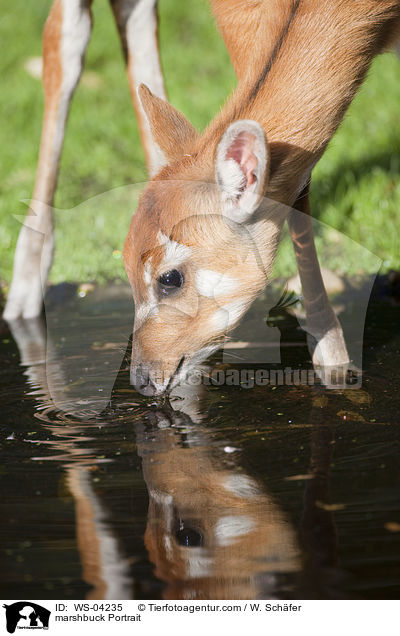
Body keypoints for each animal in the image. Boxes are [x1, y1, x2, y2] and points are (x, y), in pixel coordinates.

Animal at [3, 1, 400, 398]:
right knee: (64, 39)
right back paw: (23, 296)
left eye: (169, 278)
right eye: (125, 264)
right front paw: (333, 360)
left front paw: (334, 363)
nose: (142, 379)